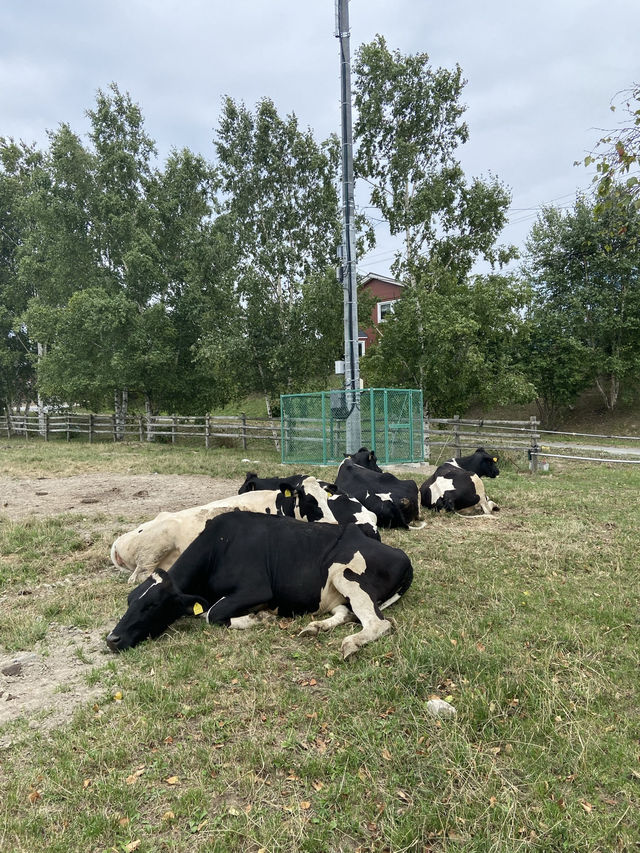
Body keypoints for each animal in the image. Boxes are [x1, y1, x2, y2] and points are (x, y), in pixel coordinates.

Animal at [107, 506, 412, 660]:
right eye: (130, 601)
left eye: (152, 605)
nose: (112, 639)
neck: (219, 546)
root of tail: (401, 554)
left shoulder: (256, 588)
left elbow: (212, 613)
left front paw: (257, 618)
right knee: (345, 613)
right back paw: (314, 628)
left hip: (345, 574)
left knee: (378, 623)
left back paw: (350, 644)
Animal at [110, 476, 380, 584]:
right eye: (308, 500)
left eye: (326, 498)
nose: (332, 524)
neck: (277, 504)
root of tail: (120, 541)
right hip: (153, 550)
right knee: (138, 577)